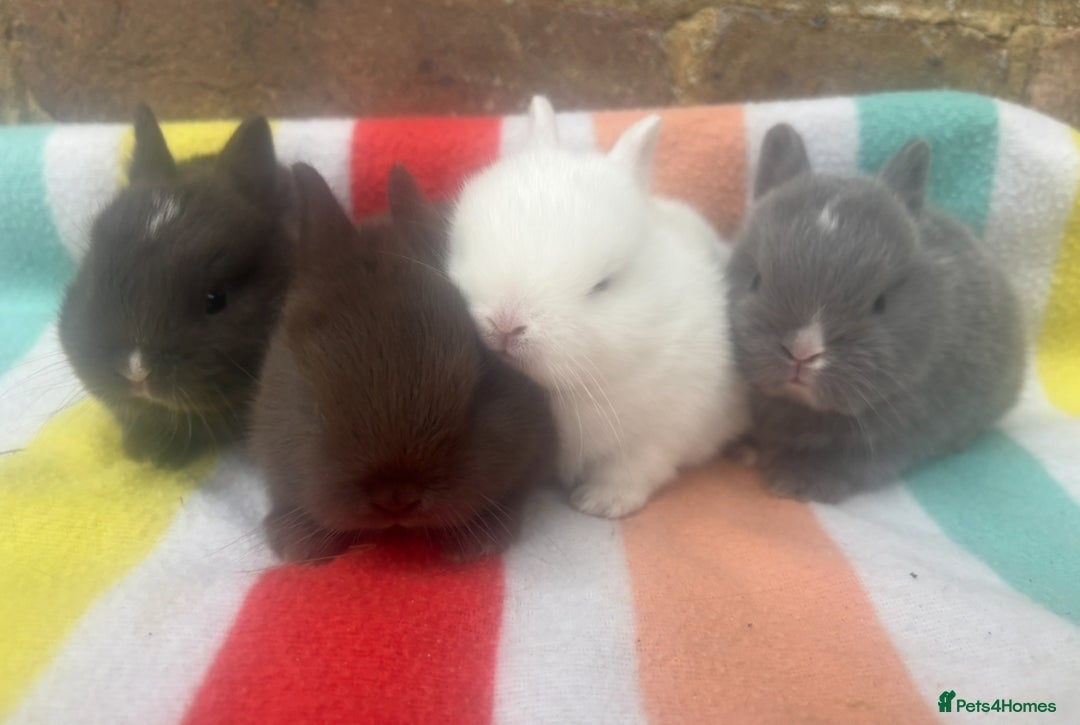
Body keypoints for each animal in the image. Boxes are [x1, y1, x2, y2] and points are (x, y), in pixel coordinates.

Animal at [445, 96, 748, 519]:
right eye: (465, 247)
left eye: (603, 284)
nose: (505, 325)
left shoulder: (658, 433)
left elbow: (631, 470)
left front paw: (599, 504)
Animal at [727, 123, 1025, 502]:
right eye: (756, 280)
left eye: (880, 303)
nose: (803, 352)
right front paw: (743, 450)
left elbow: (850, 463)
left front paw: (795, 481)